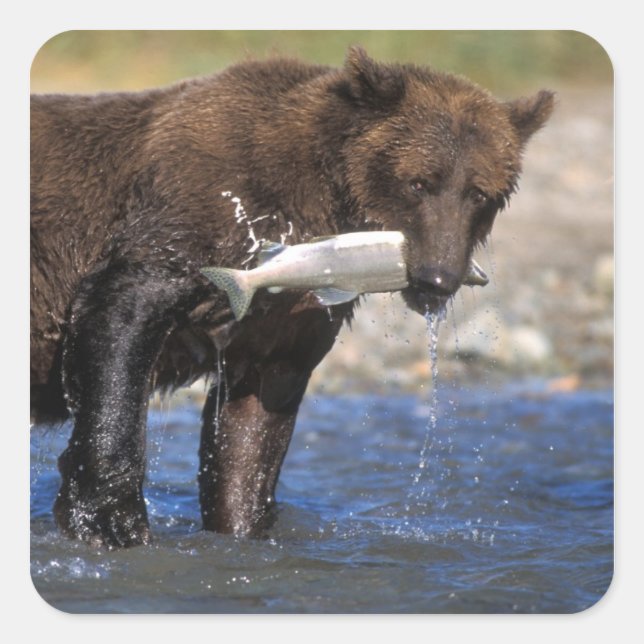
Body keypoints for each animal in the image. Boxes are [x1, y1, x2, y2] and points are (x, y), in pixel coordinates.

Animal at [30, 46, 554, 548]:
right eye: (419, 182)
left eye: (480, 193)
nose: (438, 278)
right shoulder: (192, 215)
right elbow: (120, 321)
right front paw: (110, 520)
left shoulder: (286, 319)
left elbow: (252, 427)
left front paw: (242, 524)